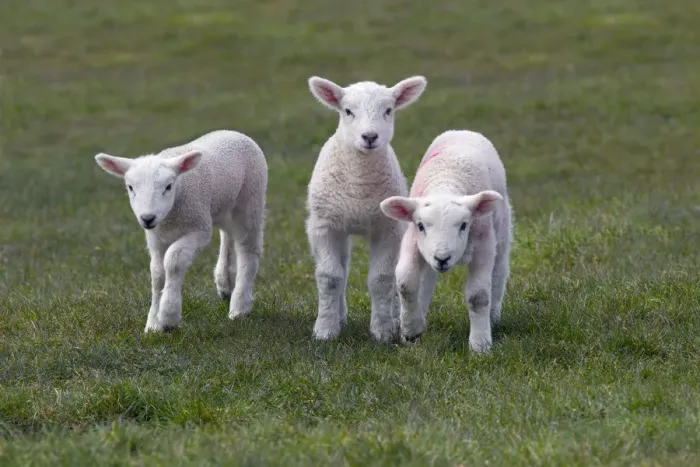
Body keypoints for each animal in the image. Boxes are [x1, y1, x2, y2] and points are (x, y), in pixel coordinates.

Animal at [94, 130, 267, 333]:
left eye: (168, 186)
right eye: (130, 187)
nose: (147, 218)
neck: (170, 220)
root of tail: (233, 132)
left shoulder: (198, 229)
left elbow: (174, 261)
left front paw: (168, 315)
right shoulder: (155, 238)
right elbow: (157, 274)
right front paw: (153, 323)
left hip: (250, 200)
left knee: (248, 249)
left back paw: (239, 306)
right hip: (223, 207)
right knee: (228, 237)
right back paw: (225, 284)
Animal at [306, 75, 427, 341]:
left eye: (388, 110)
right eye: (348, 111)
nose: (370, 137)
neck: (358, 188)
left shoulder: (388, 228)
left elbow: (381, 279)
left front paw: (382, 331)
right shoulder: (323, 226)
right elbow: (330, 277)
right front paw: (325, 330)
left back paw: (394, 317)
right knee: (342, 269)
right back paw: (339, 316)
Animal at [379, 130, 512, 352]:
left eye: (464, 225)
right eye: (421, 226)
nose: (442, 258)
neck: (446, 183)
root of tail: (463, 131)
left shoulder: (484, 245)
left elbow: (478, 296)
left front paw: (480, 344)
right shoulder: (412, 241)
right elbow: (406, 282)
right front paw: (411, 330)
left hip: (501, 232)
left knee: (499, 272)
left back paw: (493, 317)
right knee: (426, 281)